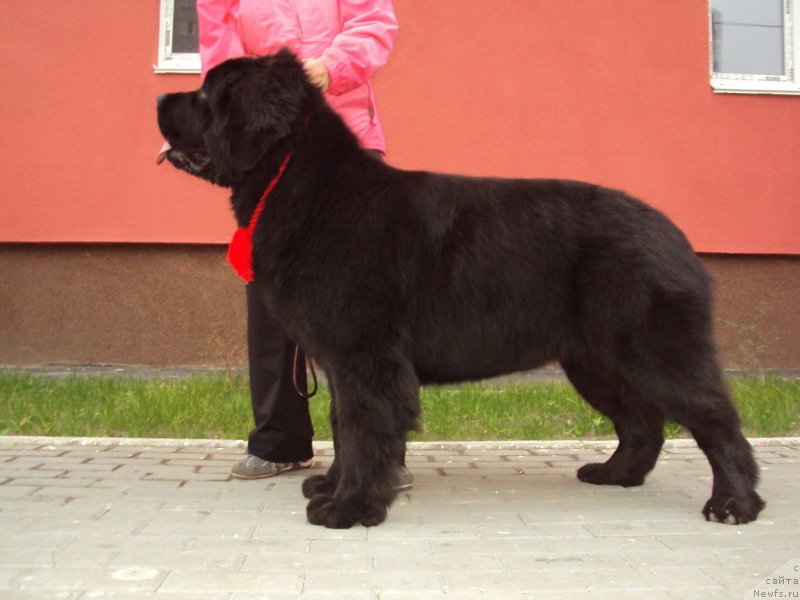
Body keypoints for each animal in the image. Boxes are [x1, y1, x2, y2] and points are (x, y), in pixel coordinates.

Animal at [156, 51, 764, 528]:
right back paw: (615, 474)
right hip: (594, 360)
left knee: (714, 417)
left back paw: (734, 503)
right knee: (642, 422)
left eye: (206, 93)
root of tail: (675, 235)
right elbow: (341, 424)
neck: (298, 182)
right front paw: (331, 487)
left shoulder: (365, 355)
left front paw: (349, 508)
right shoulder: (343, 358)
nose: (160, 96)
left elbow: (362, 427)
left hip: (651, 348)